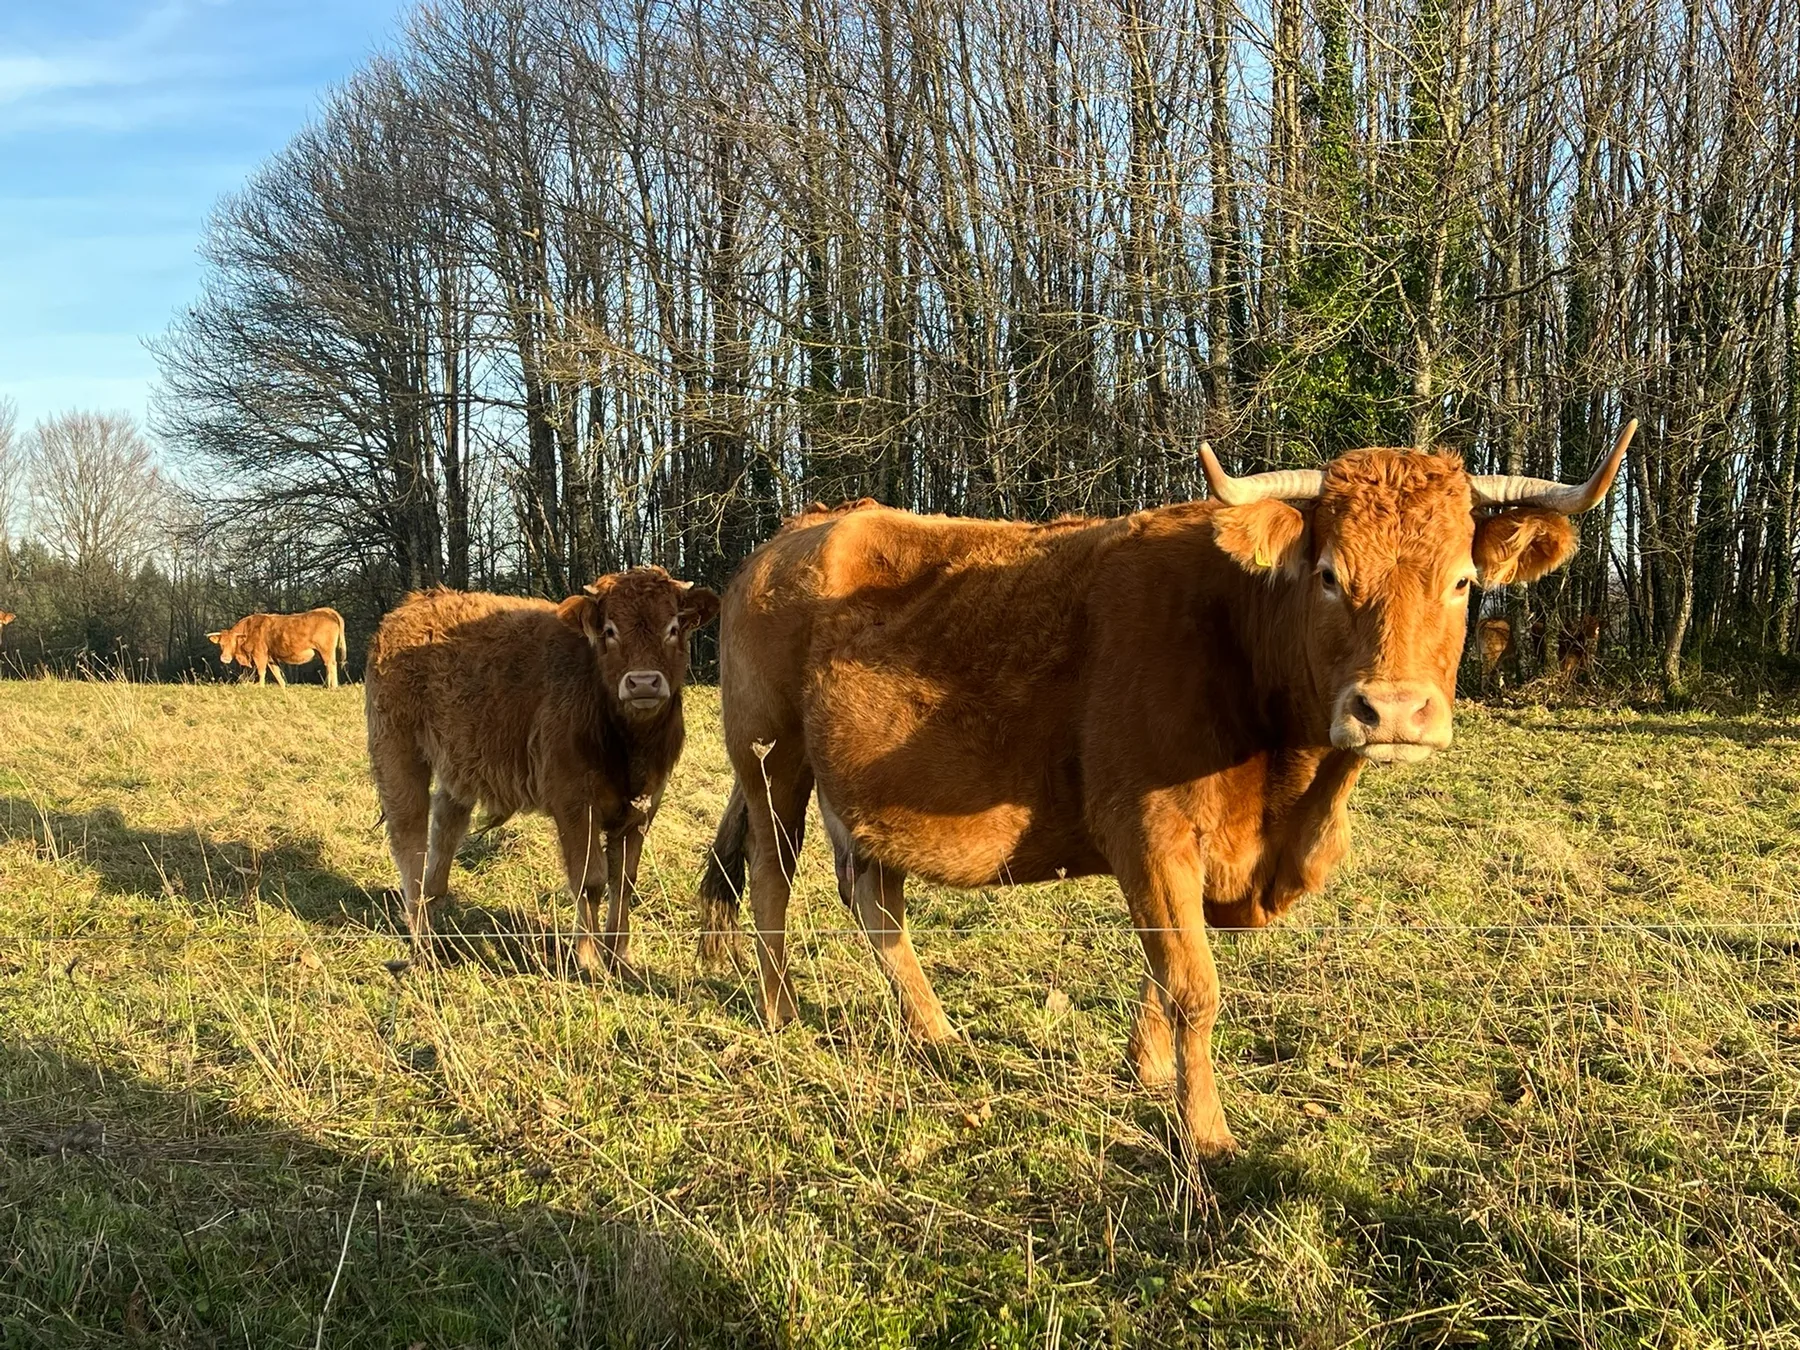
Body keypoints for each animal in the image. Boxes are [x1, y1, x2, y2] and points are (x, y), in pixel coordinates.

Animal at [208, 609, 347, 687]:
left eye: (234, 642)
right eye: (221, 644)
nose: (225, 658)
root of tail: (326, 612)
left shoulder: (260, 654)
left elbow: (262, 671)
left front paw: (261, 687)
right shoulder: (271, 657)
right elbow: (277, 673)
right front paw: (283, 686)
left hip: (326, 650)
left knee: (331, 664)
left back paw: (333, 686)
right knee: (328, 665)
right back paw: (326, 685)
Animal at [364, 567, 720, 973]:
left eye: (673, 627)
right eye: (610, 630)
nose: (642, 682)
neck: (628, 744)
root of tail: (415, 604)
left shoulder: (643, 809)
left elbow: (624, 881)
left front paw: (620, 955)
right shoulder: (575, 804)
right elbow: (590, 879)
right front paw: (589, 960)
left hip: (457, 767)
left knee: (444, 832)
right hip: (399, 755)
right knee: (409, 845)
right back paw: (423, 948)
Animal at [695, 423, 1637, 1161]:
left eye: (1461, 581)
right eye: (1329, 574)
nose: (1394, 711)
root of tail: (796, 533)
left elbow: (1163, 969)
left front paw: (1146, 1072)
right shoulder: (1147, 831)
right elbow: (1193, 982)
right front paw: (1206, 1132)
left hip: (861, 796)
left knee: (875, 901)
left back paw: (935, 1032)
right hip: (770, 758)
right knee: (773, 882)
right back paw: (781, 1013)